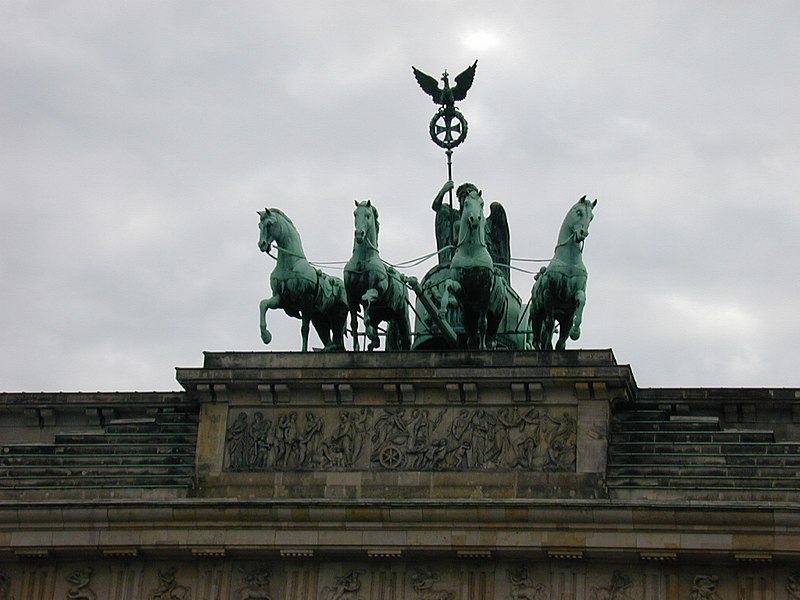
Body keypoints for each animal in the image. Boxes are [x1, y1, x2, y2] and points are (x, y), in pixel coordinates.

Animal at [255, 209, 346, 352]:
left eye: (269, 224)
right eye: (259, 225)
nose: (262, 244)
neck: (290, 264)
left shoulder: (306, 301)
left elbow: (304, 329)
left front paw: (303, 350)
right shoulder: (280, 299)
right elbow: (263, 304)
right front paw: (266, 336)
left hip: (339, 313)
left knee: (338, 335)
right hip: (320, 317)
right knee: (329, 338)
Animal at [342, 202, 410, 352]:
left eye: (368, 215)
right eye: (355, 214)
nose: (359, 234)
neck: (362, 261)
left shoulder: (376, 290)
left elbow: (365, 299)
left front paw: (369, 331)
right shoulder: (351, 297)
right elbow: (354, 323)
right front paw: (357, 347)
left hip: (402, 314)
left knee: (406, 337)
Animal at [440, 188, 504, 346]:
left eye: (482, 204)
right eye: (467, 203)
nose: (475, 219)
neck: (471, 251)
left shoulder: (485, 292)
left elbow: (483, 324)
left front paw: (482, 347)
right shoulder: (462, 292)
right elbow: (449, 284)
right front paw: (442, 309)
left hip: (496, 315)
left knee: (491, 335)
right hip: (469, 312)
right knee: (470, 330)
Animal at [528, 195, 596, 350]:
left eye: (591, 217)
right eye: (578, 212)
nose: (583, 233)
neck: (569, 261)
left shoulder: (575, 295)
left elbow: (581, 299)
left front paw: (576, 332)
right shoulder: (549, 294)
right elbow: (549, 323)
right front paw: (547, 346)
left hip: (565, 317)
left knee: (561, 339)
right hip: (536, 312)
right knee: (537, 335)